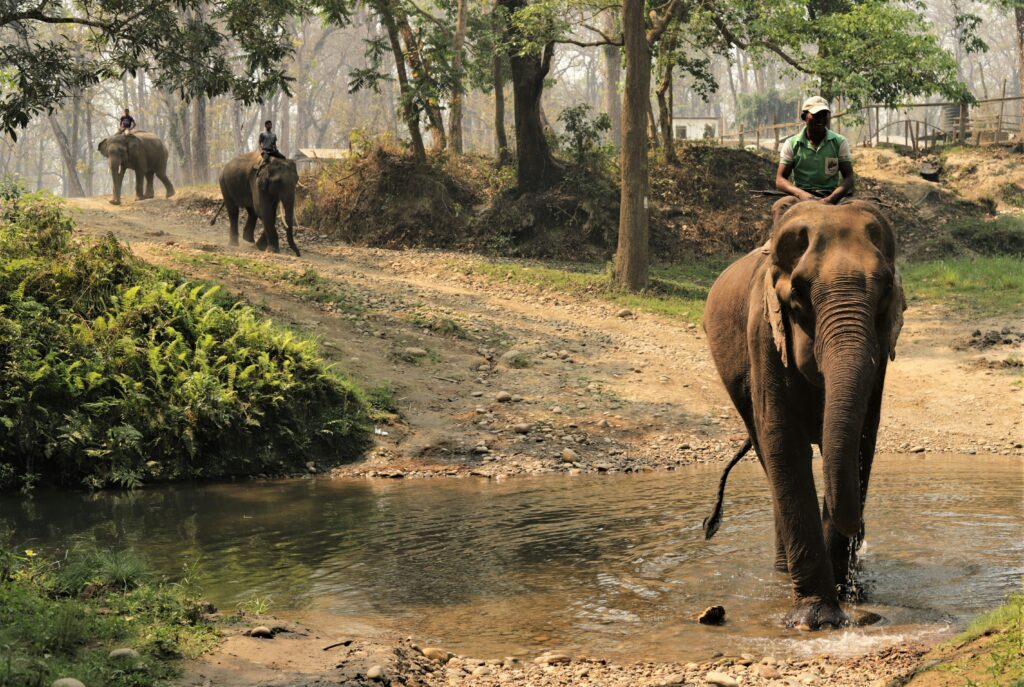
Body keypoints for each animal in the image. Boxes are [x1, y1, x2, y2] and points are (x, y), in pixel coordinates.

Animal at [704, 196, 905, 630]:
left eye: (885, 290)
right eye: (798, 292)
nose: (860, 533)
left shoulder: (880, 360)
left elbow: (861, 442)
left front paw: (846, 596)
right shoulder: (763, 333)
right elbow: (784, 443)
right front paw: (816, 620)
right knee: (766, 452)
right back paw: (784, 572)